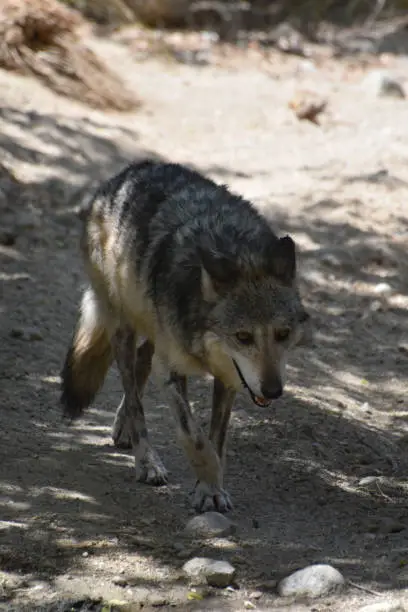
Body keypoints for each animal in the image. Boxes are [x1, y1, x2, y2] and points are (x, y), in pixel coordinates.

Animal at [60, 160, 310, 512]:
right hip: (124, 328)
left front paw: (211, 487)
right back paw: (146, 461)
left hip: (152, 331)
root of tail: (125, 173)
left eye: (283, 334)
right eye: (243, 336)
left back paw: (123, 428)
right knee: (133, 391)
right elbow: (195, 438)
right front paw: (208, 487)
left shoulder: (229, 378)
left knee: (141, 366)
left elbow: (217, 441)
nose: (273, 391)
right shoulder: (173, 370)